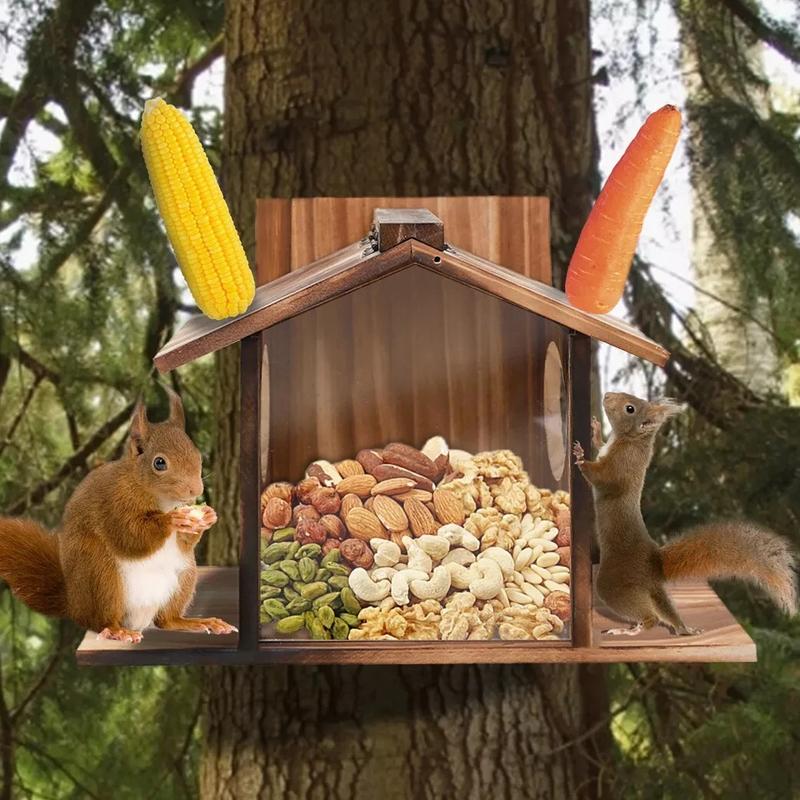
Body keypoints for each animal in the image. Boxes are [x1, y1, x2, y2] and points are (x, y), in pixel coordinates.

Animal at [0, 387, 236, 643]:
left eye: (197, 455)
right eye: (159, 463)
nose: (196, 490)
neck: (161, 499)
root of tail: (74, 604)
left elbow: (184, 542)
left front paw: (207, 516)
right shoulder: (112, 503)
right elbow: (130, 535)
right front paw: (171, 520)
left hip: (185, 574)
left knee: (166, 620)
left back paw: (196, 623)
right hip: (101, 576)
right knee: (101, 619)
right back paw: (116, 630)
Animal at [573, 391, 797, 636]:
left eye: (630, 408)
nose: (606, 395)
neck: (631, 439)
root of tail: (655, 565)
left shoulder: (621, 467)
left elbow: (602, 478)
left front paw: (581, 459)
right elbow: (601, 445)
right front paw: (595, 430)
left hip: (614, 583)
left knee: (651, 617)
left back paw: (629, 631)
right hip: (650, 589)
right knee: (666, 611)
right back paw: (683, 629)